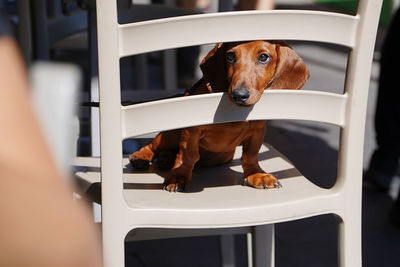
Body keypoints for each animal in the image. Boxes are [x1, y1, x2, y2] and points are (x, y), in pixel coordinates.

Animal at [129, 40, 310, 193]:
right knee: (152, 145)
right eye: (230, 56)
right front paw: (178, 177)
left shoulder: (258, 131)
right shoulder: (191, 131)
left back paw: (166, 158)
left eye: (263, 57)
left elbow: (250, 155)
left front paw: (256, 175)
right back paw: (141, 157)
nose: (239, 95)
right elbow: (188, 155)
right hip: (170, 135)